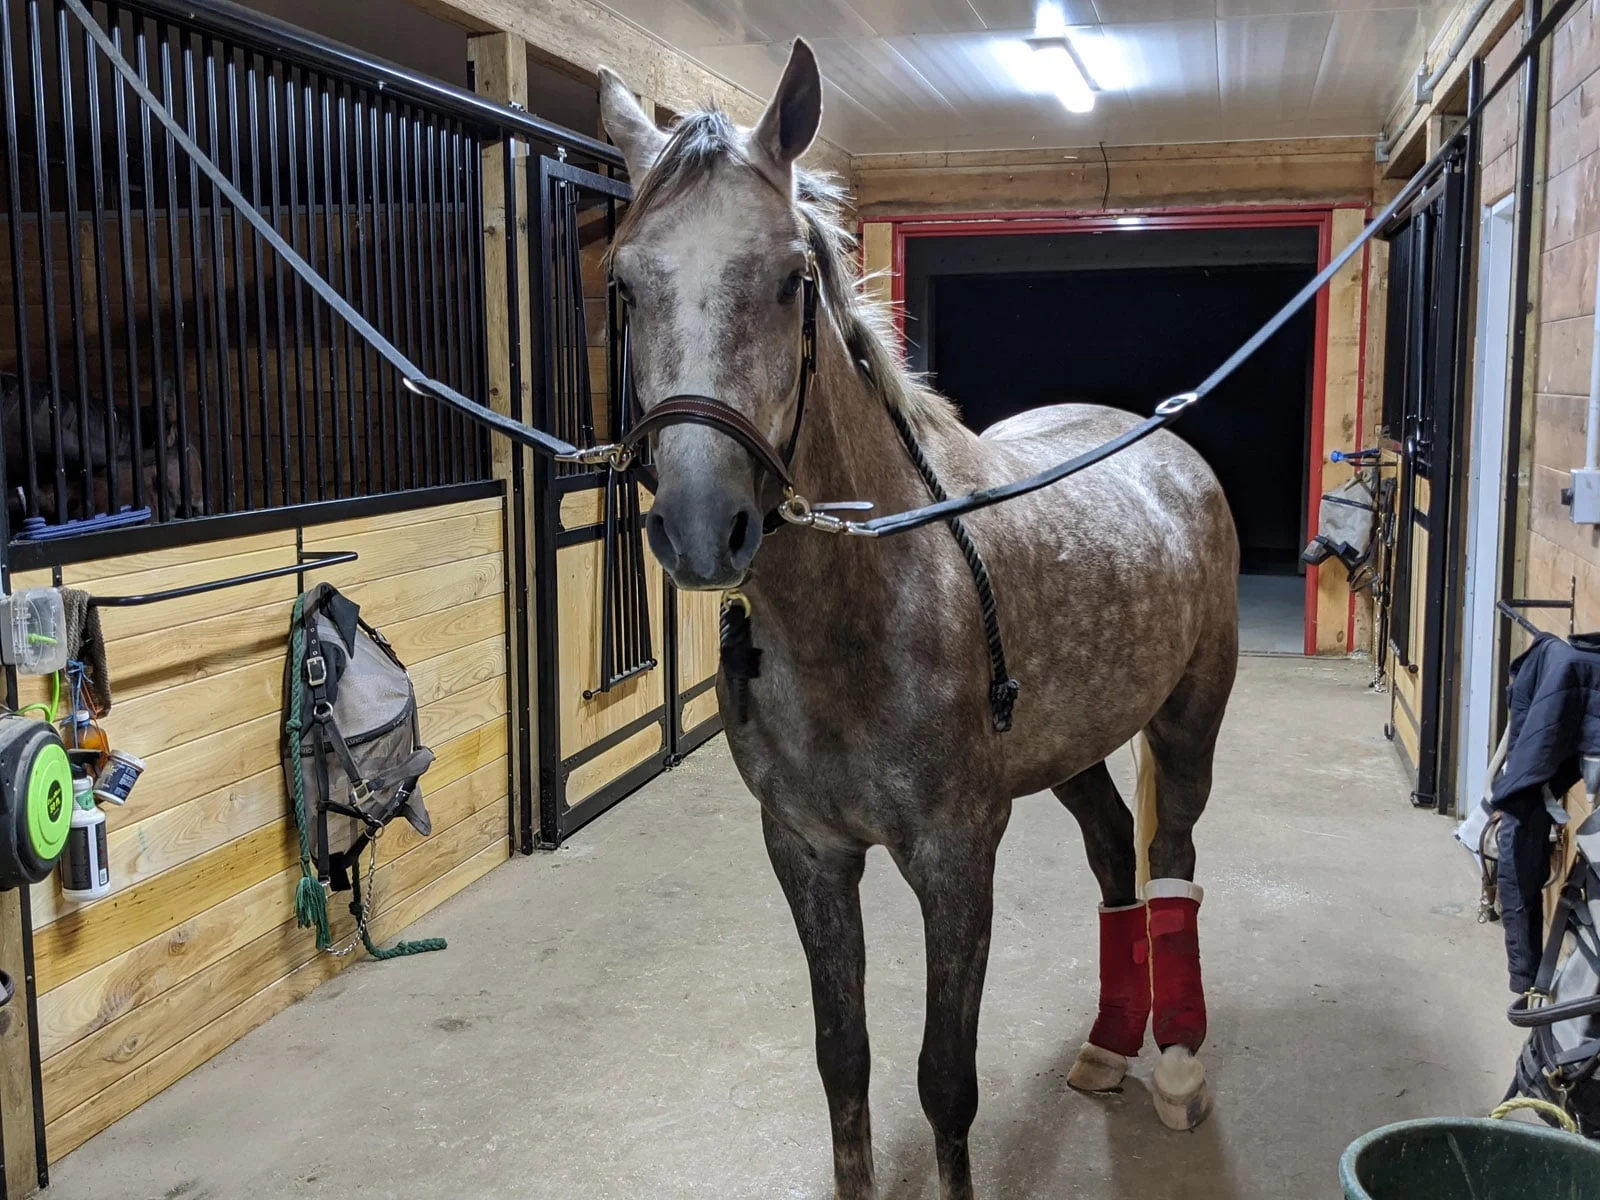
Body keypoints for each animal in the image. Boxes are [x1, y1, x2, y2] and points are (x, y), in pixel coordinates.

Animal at [598, 40, 1239, 1200]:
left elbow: (945, 1078)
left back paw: (1173, 1065)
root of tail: (1160, 438)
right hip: (1071, 745)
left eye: (792, 279)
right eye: (624, 282)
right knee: (1114, 851)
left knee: (1171, 855)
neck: (862, 611)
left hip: (1189, 718)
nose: (703, 525)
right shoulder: (807, 851)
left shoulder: (955, 854)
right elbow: (842, 1059)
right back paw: (1107, 1046)